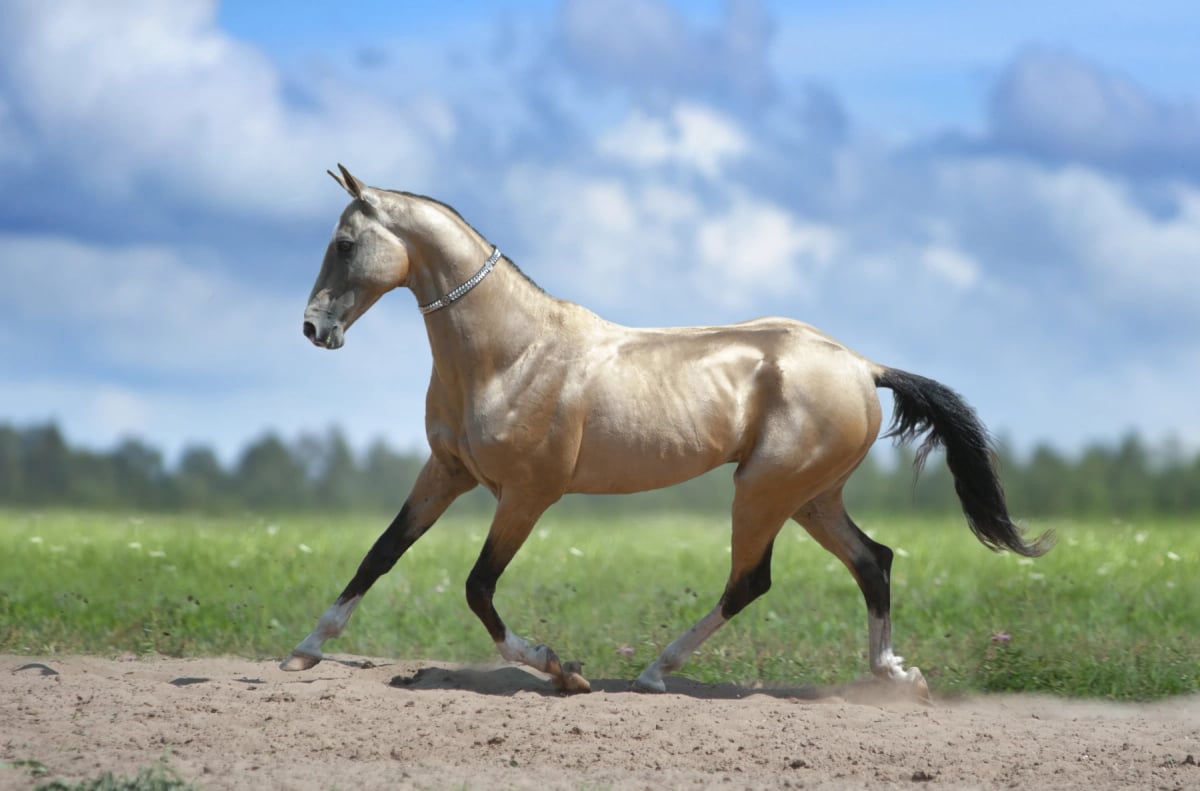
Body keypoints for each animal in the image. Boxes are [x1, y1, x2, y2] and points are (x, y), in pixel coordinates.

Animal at [283, 164, 1052, 696]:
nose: (314, 328)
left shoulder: (526, 495)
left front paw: (560, 668)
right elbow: (381, 553)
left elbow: (477, 587)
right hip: (810, 496)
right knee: (873, 561)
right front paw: (305, 649)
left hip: (765, 491)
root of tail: (863, 365)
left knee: (752, 580)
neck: (510, 354)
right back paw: (894, 673)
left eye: (346, 243)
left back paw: (656, 671)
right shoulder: (447, 472)